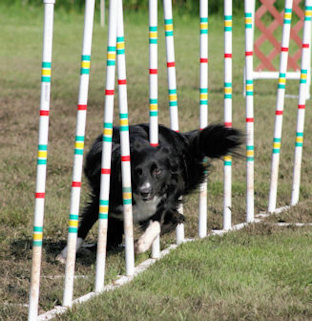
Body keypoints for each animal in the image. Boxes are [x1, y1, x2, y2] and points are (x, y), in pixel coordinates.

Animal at [57, 122, 243, 260]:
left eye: (157, 171)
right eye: (136, 171)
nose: (145, 191)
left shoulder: (165, 199)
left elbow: (156, 222)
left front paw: (141, 244)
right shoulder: (103, 196)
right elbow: (84, 225)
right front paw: (66, 255)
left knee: (176, 218)